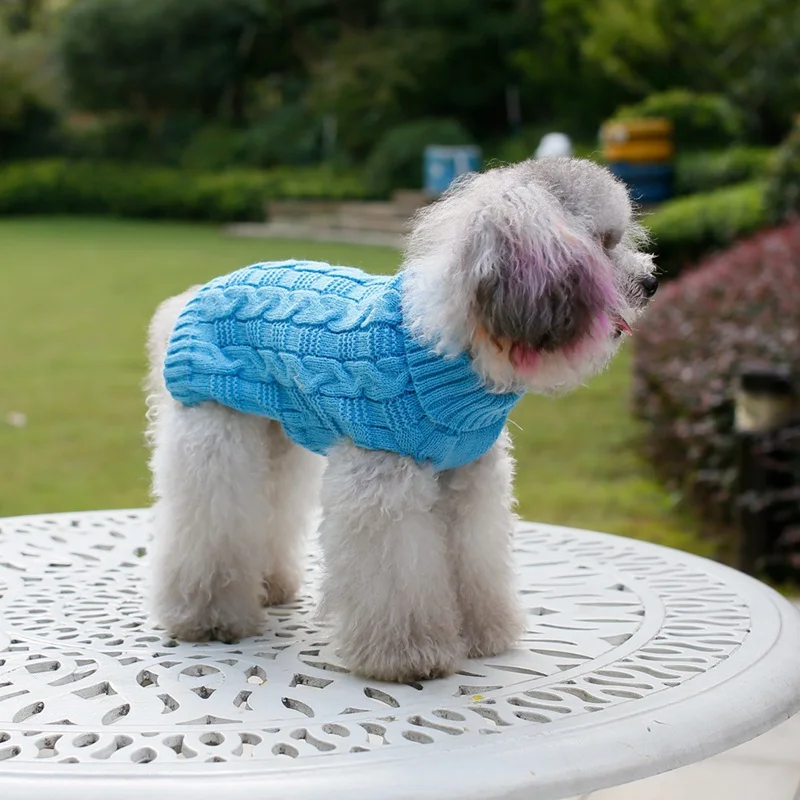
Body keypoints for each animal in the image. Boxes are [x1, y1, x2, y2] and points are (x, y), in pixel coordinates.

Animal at [144, 156, 656, 680]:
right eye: (602, 242)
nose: (652, 283)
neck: (450, 350)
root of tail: (189, 300)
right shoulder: (383, 486)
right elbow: (398, 580)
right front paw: (409, 655)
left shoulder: (469, 482)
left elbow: (476, 560)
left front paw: (483, 633)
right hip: (216, 433)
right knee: (211, 522)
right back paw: (209, 616)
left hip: (276, 435)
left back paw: (269, 584)